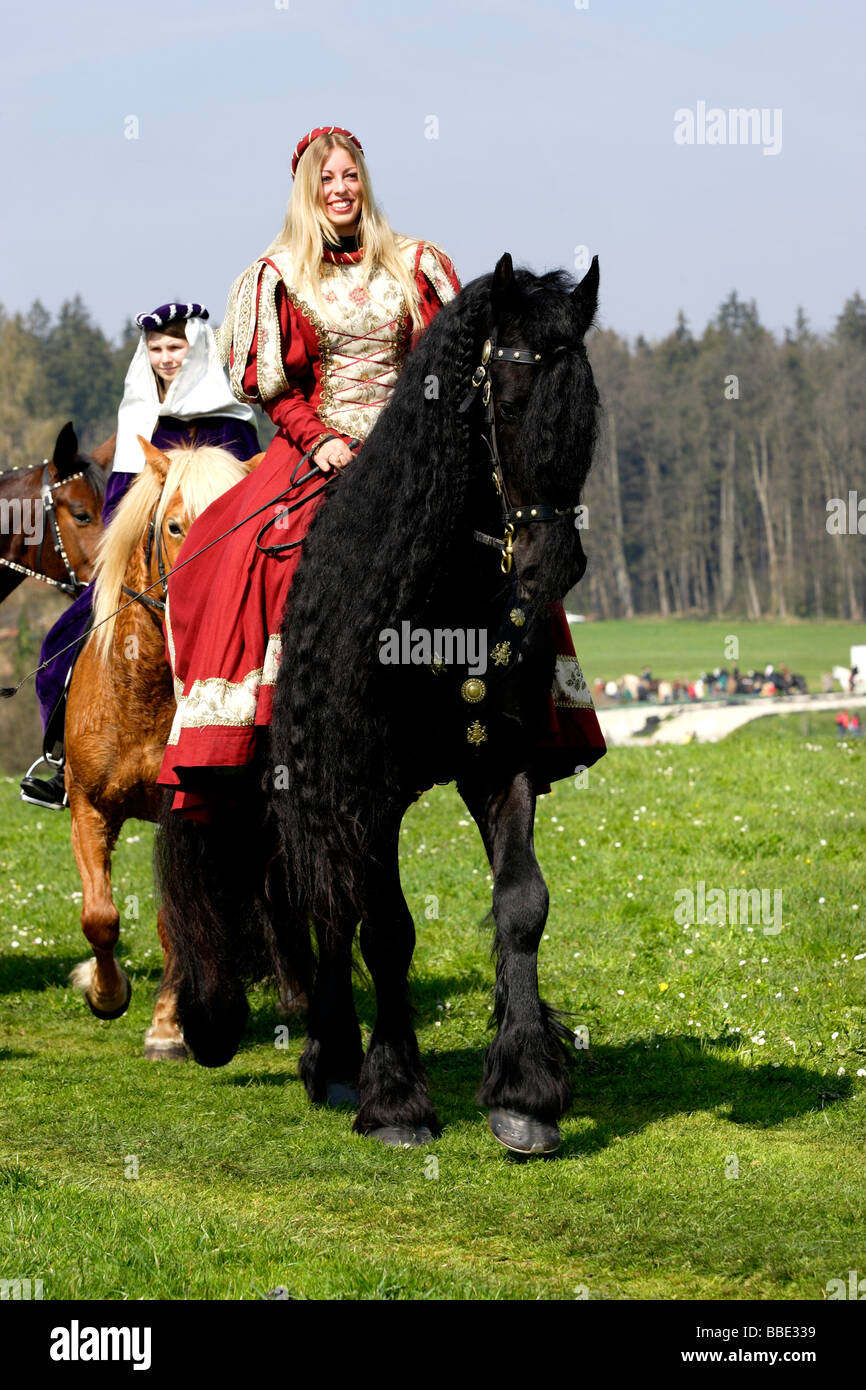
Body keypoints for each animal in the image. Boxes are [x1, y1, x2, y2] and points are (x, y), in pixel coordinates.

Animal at [67, 439, 254, 1056]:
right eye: (175, 527)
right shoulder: (88, 807)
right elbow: (100, 916)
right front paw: (104, 992)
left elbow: (176, 924)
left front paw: (168, 1028)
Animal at [155, 255, 603, 1156]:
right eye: (507, 399)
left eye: (588, 413)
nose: (552, 565)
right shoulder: (365, 785)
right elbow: (387, 927)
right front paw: (396, 1097)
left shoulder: (501, 765)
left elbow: (522, 907)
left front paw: (525, 1095)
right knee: (320, 897)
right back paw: (319, 1055)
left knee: (320, 893)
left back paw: (332, 1057)